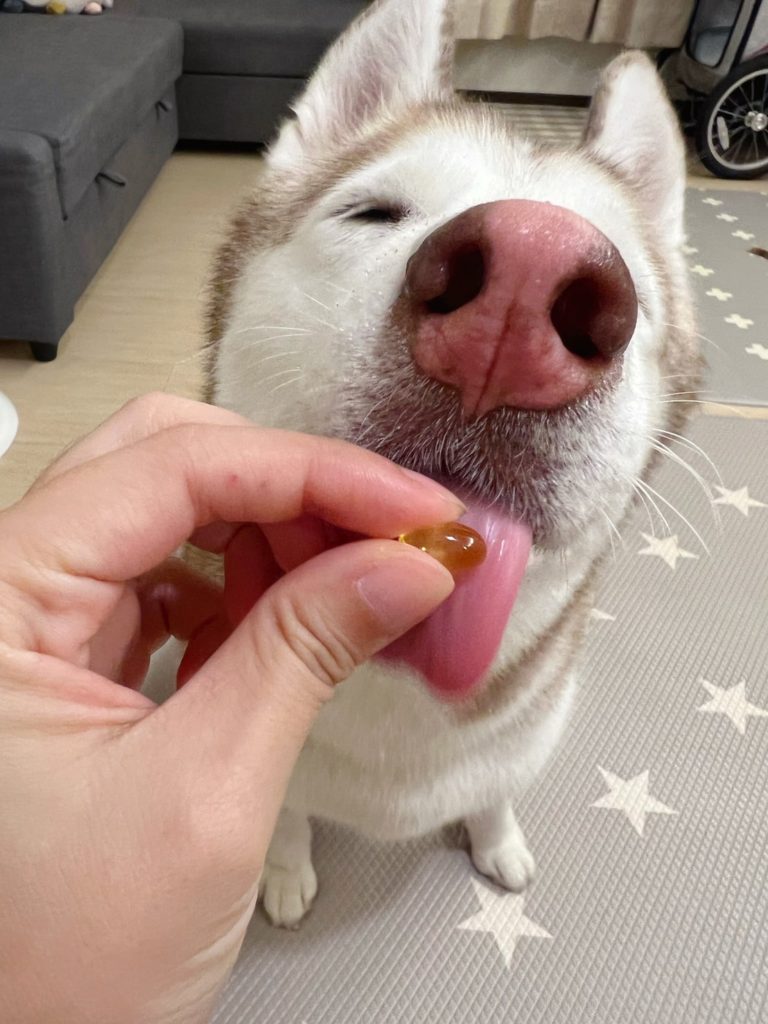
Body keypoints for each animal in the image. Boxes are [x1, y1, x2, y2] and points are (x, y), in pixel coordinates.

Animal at [203, 0, 701, 927]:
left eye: (637, 302)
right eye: (371, 213)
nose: (523, 284)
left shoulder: (520, 741)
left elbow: (495, 790)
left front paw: (497, 840)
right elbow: (286, 816)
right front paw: (283, 871)